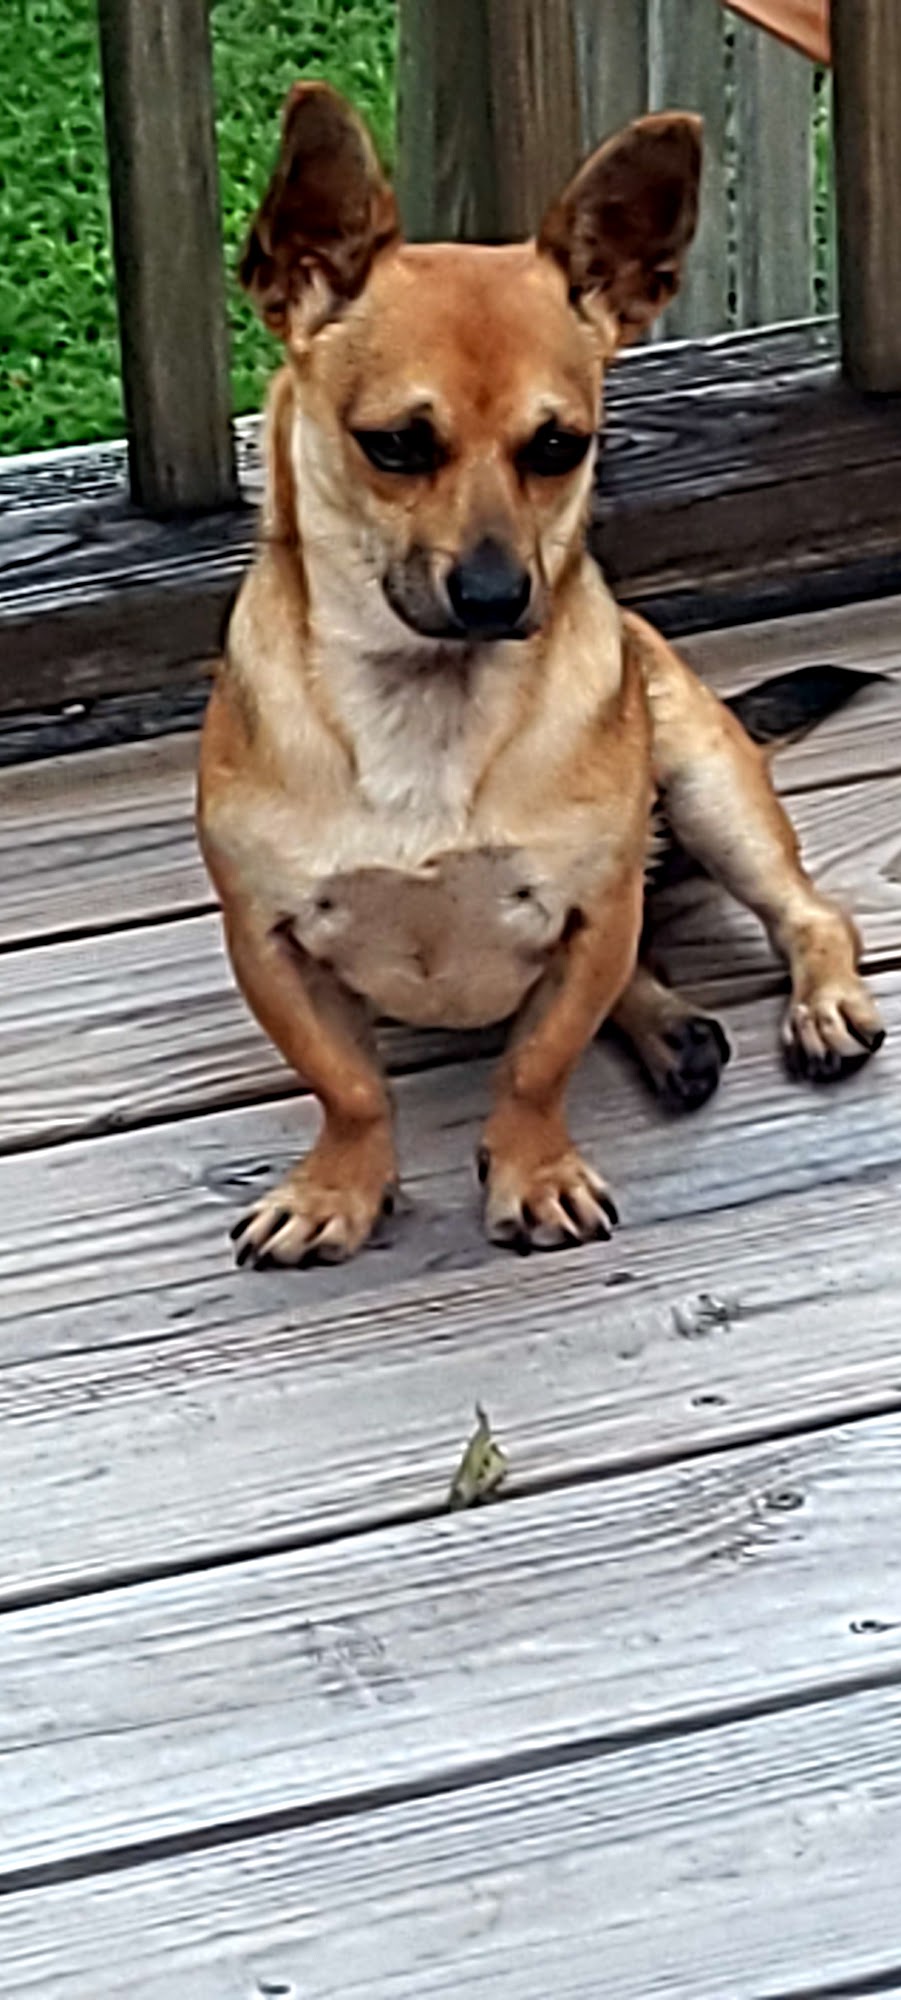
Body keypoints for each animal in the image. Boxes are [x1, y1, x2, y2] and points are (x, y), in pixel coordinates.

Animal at [198, 82, 884, 1268]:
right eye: (394, 445)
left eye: (559, 447)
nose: (493, 592)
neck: (426, 697)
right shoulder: (269, 940)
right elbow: (349, 1086)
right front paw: (339, 1187)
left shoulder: (587, 909)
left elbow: (535, 1061)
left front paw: (534, 1171)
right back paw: (673, 1032)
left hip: (707, 790)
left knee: (807, 913)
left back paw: (815, 1002)